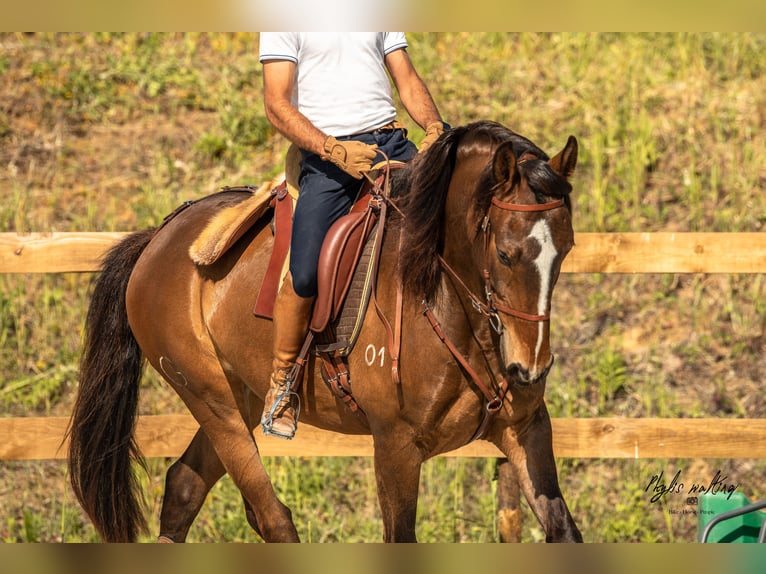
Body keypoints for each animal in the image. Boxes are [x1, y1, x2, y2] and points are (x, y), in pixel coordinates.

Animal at [67, 121, 584, 544]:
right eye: (505, 254)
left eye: (566, 248)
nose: (529, 367)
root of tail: (157, 239)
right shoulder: (395, 448)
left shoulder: (526, 430)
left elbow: (564, 531)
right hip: (213, 403)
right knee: (271, 516)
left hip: (239, 395)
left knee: (183, 488)